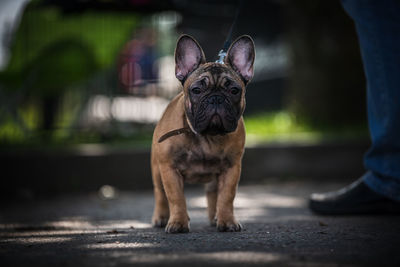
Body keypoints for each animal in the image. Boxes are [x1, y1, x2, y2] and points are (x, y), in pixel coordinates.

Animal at [152, 34, 255, 233]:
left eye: (234, 90)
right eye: (197, 90)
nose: (215, 98)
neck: (208, 136)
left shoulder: (231, 169)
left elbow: (227, 197)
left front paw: (227, 221)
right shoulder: (169, 169)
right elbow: (176, 198)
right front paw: (178, 222)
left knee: (213, 193)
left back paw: (215, 218)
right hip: (157, 170)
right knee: (160, 194)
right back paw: (160, 218)